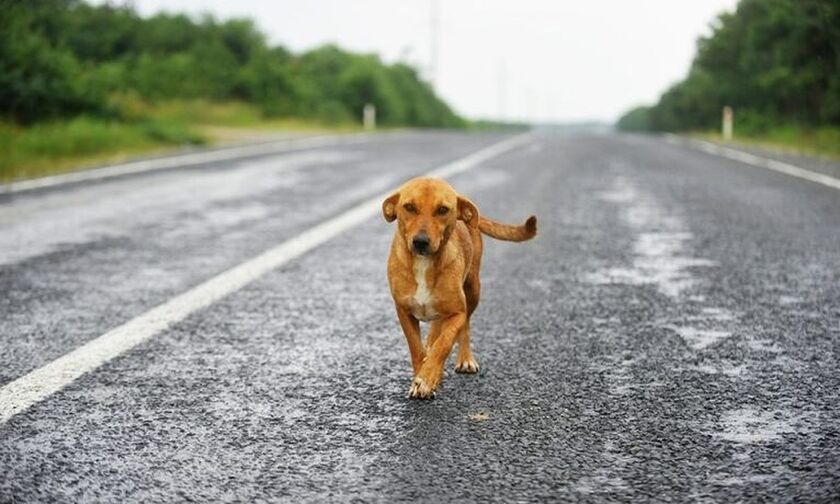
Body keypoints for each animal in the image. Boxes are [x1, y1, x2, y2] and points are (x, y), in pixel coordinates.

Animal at [382, 177, 540, 398]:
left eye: (442, 209)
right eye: (409, 207)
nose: (420, 242)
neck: (424, 264)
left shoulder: (457, 312)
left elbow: (445, 343)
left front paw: (427, 378)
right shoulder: (404, 311)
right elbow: (416, 348)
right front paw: (422, 375)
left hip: (473, 291)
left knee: (463, 328)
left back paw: (464, 360)